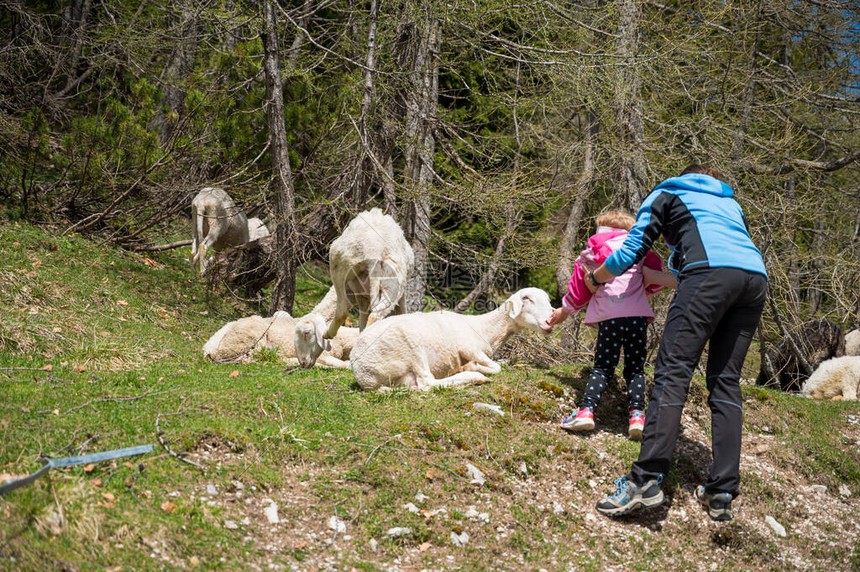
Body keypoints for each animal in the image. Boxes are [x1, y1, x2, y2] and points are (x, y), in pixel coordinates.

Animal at [352, 288, 556, 392]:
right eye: (528, 299)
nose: (550, 320)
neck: (484, 328)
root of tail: (362, 373)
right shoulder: (468, 347)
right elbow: (496, 367)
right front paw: (473, 367)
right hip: (410, 343)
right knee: (428, 383)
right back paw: (473, 376)